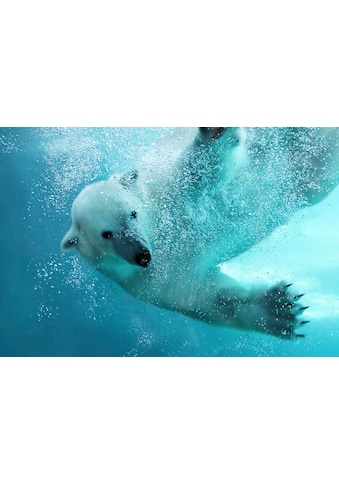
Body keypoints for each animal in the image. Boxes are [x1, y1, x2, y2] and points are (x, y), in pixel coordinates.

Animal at [61, 130, 339, 340]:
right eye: (106, 234)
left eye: (132, 214)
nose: (142, 255)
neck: (159, 231)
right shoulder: (152, 282)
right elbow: (209, 298)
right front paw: (281, 309)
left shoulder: (167, 188)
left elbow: (200, 169)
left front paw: (214, 132)